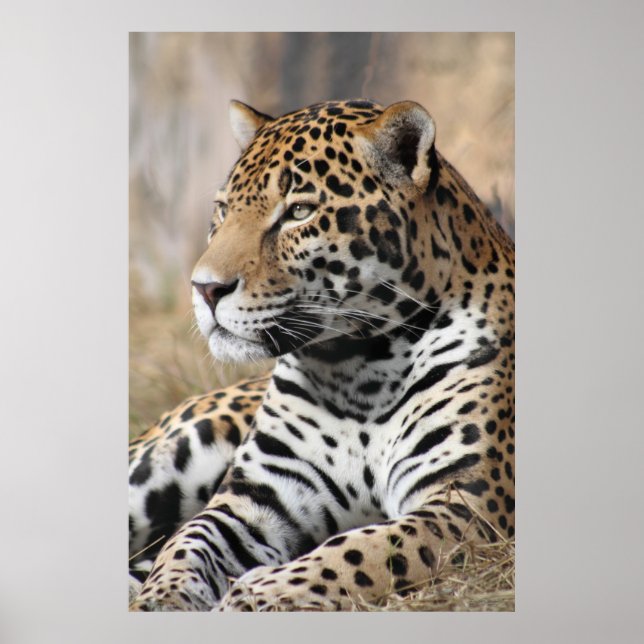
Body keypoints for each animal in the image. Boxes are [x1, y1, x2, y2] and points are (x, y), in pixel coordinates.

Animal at [128, 98, 515, 611]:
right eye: (223, 210)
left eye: (299, 212)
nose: (205, 288)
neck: (362, 371)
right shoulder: (257, 499)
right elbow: (189, 542)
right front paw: (162, 597)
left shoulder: (468, 505)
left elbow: (359, 551)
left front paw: (253, 596)